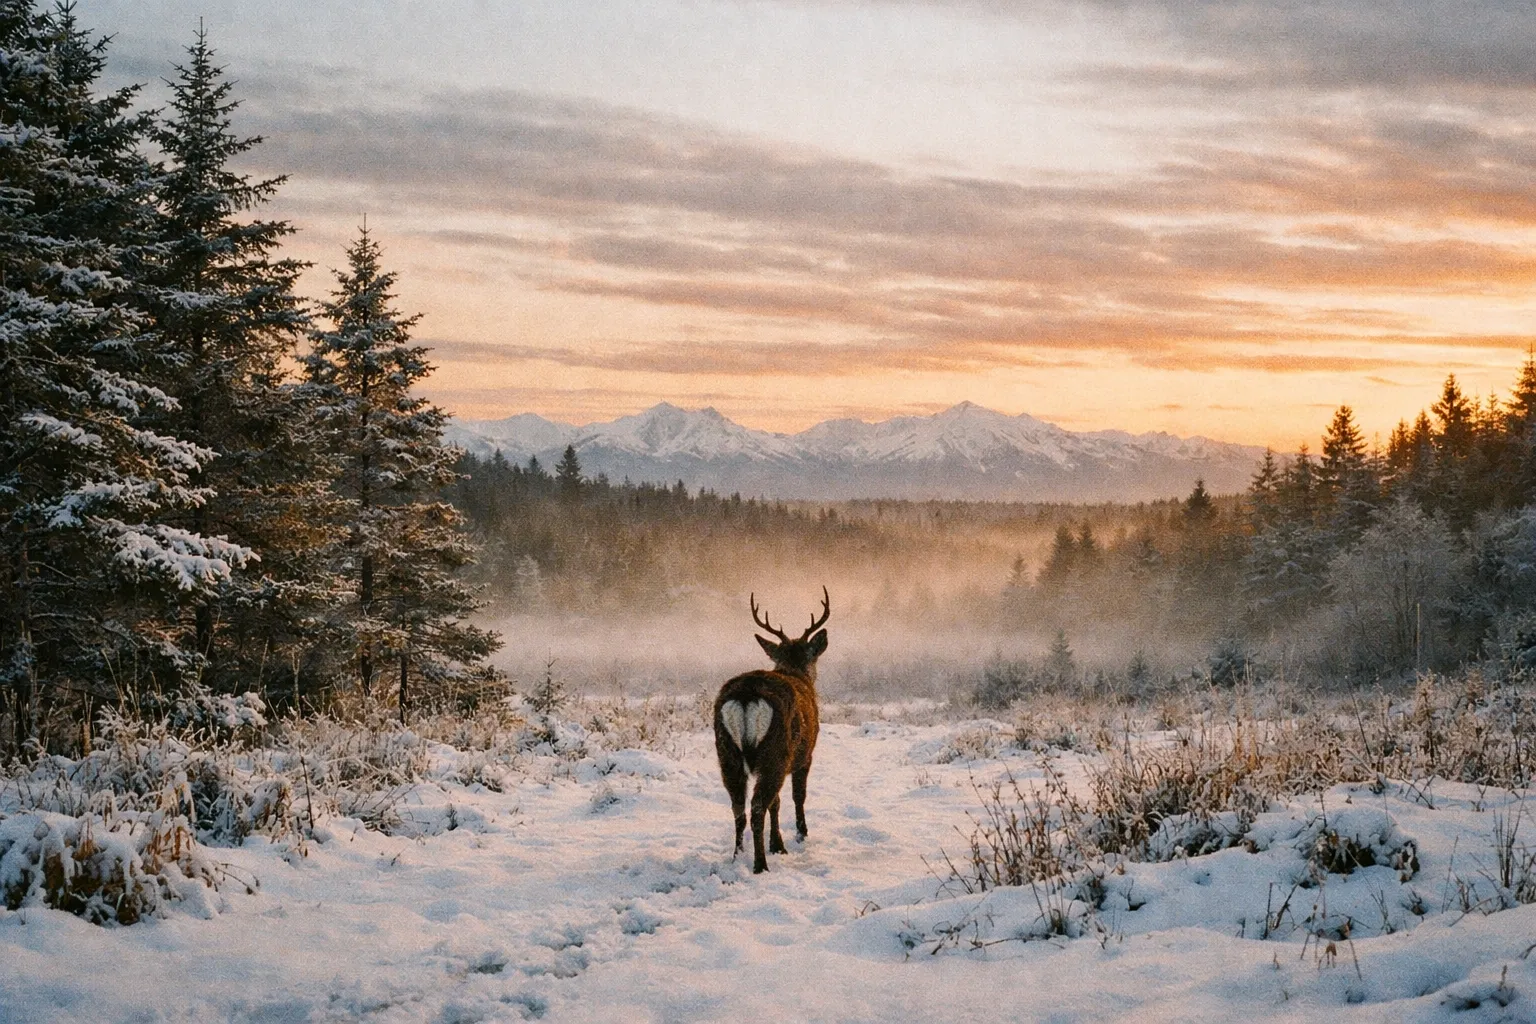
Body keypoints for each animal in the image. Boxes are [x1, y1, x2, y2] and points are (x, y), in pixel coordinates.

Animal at [714, 587, 830, 874]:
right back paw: (760, 865)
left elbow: (775, 803)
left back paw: (738, 856)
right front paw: (799, 835)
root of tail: (746, 696)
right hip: (775, 750)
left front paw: (777, 844)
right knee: (757, 806)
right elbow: (797, 795)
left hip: (726, 752)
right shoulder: (805, 755)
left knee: (738, 807)